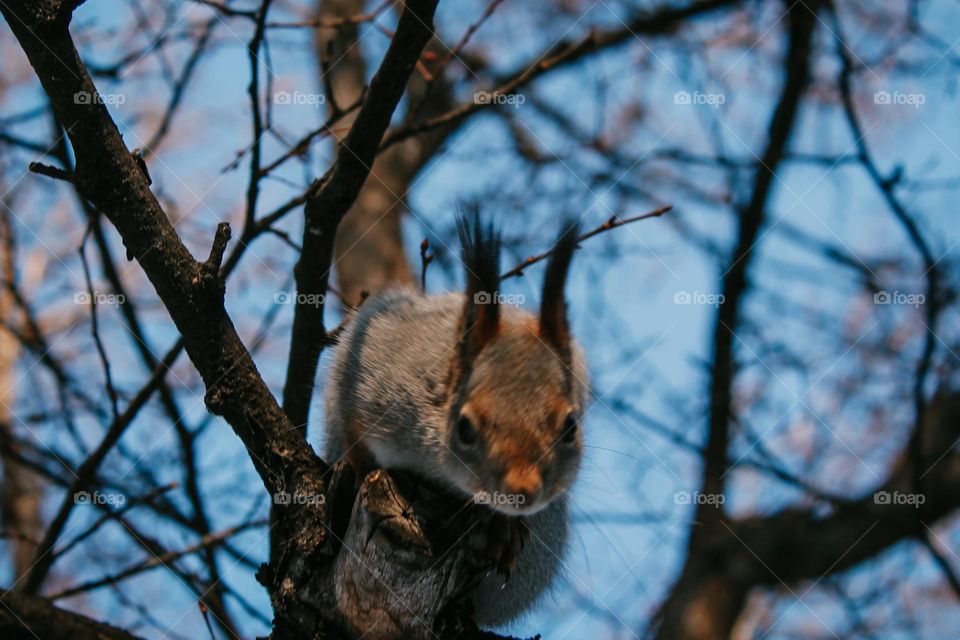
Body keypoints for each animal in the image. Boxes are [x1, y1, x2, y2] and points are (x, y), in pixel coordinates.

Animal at [326, 211, 588, 632]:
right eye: (464, 427)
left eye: (570, 428)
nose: (521, 491)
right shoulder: (371, 377)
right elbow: (354, 429)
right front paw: (358, 468)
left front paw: (501, 527)